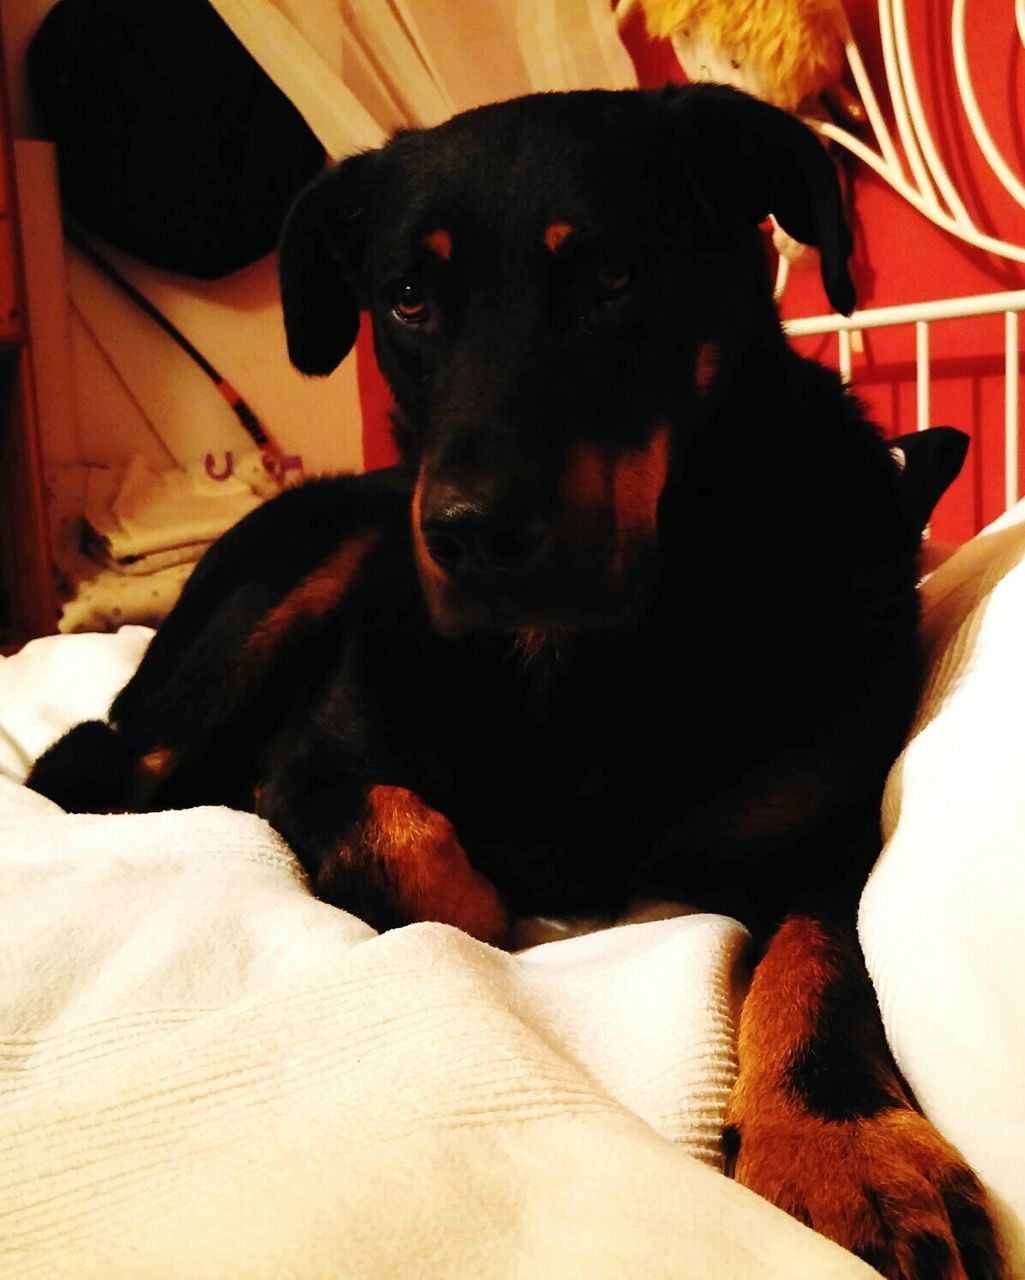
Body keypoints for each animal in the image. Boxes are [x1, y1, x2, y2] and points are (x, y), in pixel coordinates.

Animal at [31, 85, 998, 1274]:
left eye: (613, 276)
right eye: (406, 299)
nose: (468, 533)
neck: (579, 659)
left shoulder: (822, 833)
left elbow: (825, 960)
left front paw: (839, 1141)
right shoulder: (315, 765)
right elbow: (430, 864)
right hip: (309, 570)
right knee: (104, 762)